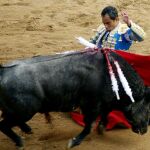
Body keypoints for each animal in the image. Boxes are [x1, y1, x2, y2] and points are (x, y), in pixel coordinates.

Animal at [0, 48, 149, 149]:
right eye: (147, 108)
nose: (145, 130)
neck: (111, 75)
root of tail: (3, 71)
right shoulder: (92, 105)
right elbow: (89, 126)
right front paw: (74, 142)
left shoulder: (104, 103)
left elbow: (105, 114)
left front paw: (101, 128)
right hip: (25, 111)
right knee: (4, 125)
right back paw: (20, 141)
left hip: (19, 111)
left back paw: (27, 130)